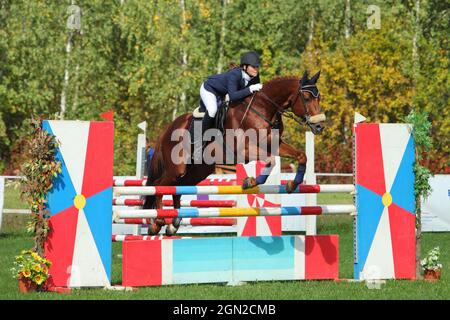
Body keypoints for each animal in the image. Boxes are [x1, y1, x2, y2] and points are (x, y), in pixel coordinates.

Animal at [146, 70, 326, 235]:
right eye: (307, 98)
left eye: (319, 98)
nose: (319, 126)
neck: (264, 109)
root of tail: (168, 129)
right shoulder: (243, 150)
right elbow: (271, 161)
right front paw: (250, 181)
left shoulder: (275, 145)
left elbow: (301, 156)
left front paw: (292, 184)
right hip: (177, 168)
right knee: (159, 186)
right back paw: (158, 223)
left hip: (198, 171)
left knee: (178, 189)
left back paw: (173, 224)